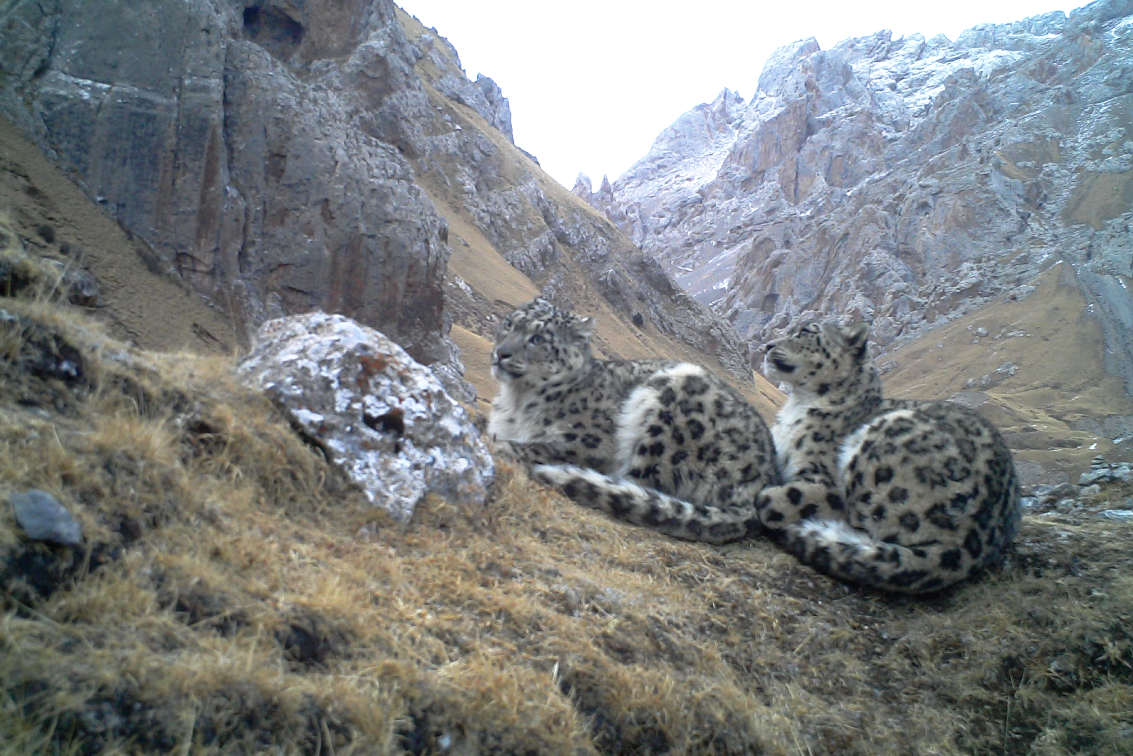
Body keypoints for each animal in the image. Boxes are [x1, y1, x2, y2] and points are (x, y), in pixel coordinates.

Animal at [488, 297, 779, 543]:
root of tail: (763, 482)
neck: (516, 402)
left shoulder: (589, 443)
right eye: (509, 323)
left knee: (639, 485)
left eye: (537, 338)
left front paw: (502, 445)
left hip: (670, 409)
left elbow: (537, 445)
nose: (501, 353)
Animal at [755, 320, 1021, 594]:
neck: (798, 404)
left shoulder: (817, 476)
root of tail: (970, 536)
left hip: (878, 447)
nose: (767, 345)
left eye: (806, 332)